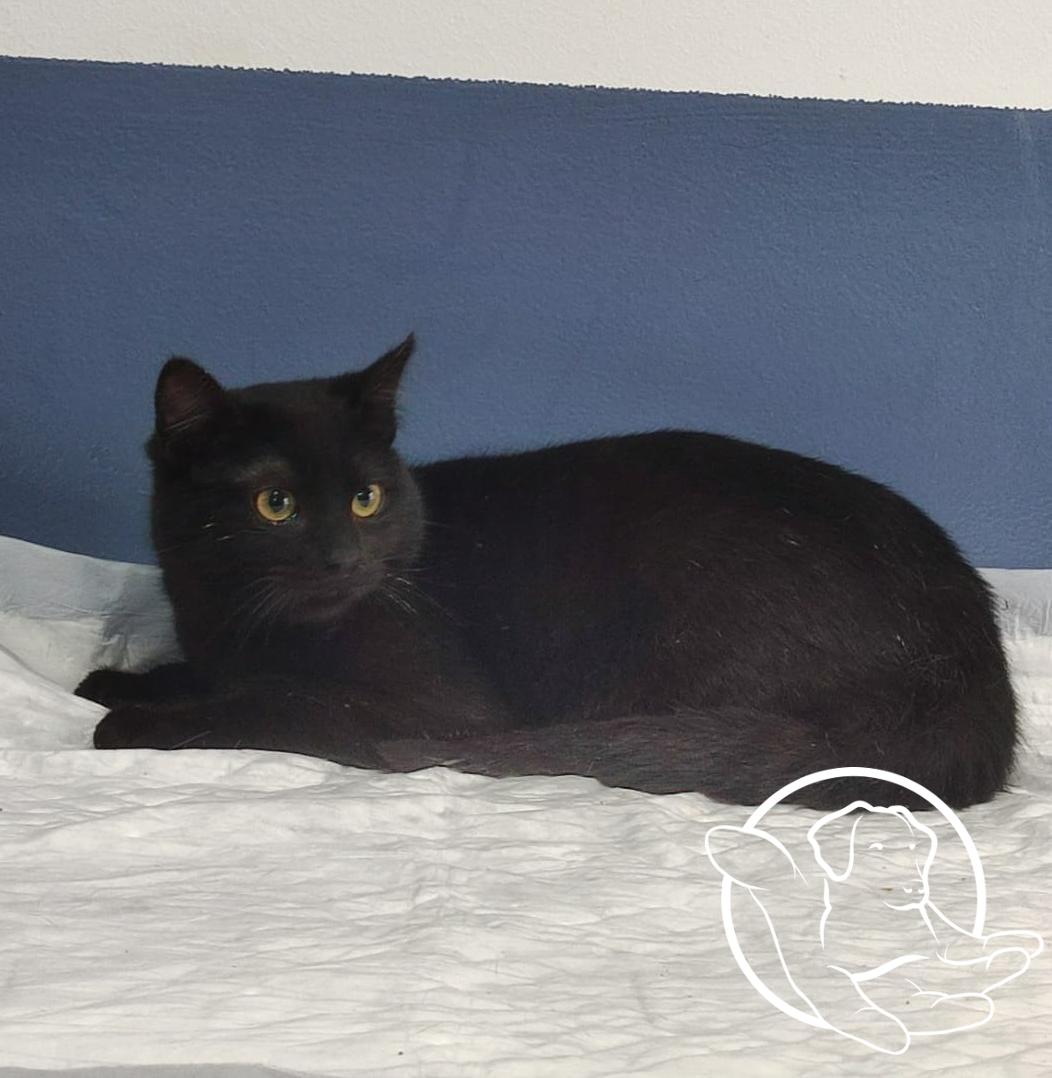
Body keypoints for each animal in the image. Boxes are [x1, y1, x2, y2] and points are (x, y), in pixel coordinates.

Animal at [75, 335, 1018, 810]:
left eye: (366, 499)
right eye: (275, 504)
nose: (345, 558)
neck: (235, 618)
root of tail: (970, 666)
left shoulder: (432, 707)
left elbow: (278, 701)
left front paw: (135, 721)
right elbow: (211, 674)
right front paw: (120, 680)